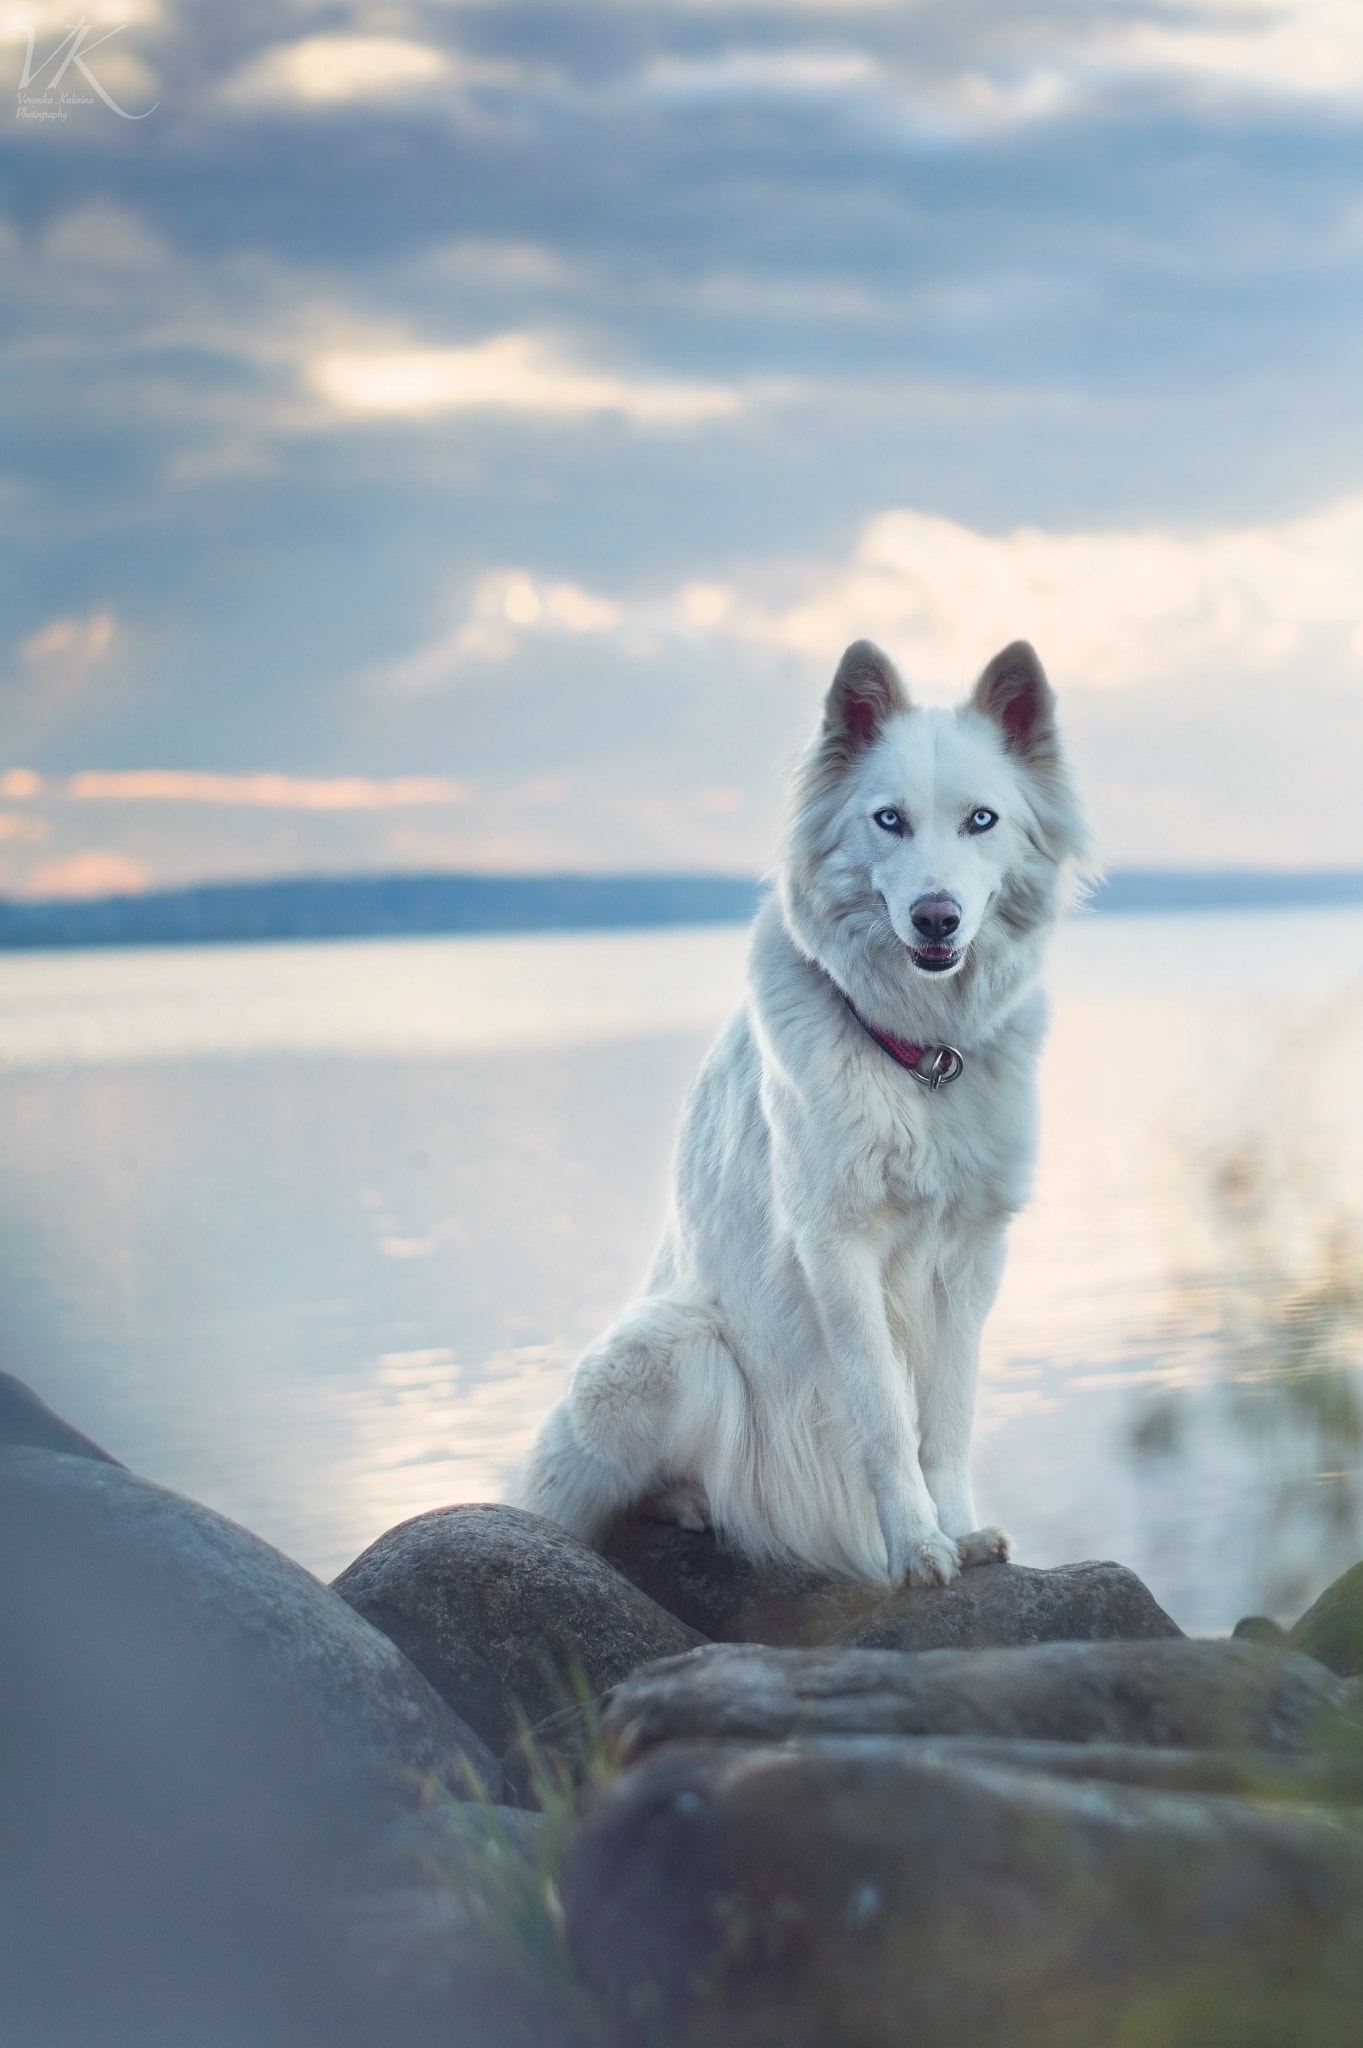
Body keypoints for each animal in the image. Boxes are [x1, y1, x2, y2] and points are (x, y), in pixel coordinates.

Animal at [509, 634, 1080, 1581]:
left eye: (981, 821)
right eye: (888, 820)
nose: (936, 918)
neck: (919, 1058)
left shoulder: (971, 1259)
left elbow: (948, 1419)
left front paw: (960, 1532)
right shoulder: (836, 1251)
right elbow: (884, 1418)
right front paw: (916, 1546)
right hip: (674, 1347)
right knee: (590, 1506)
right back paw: (690, 1508)